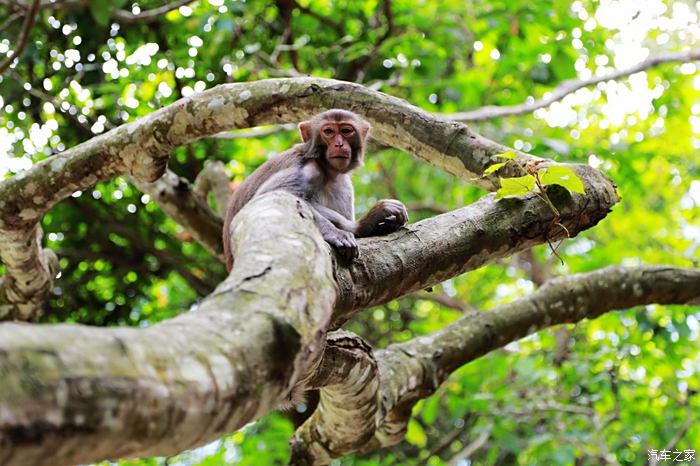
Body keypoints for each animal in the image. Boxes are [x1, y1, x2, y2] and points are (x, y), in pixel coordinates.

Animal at [224, 108, 408, 270]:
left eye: (346, 131)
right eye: (328, 131)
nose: (339, 144)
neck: (327, 173)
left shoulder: (345, 185)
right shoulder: (308, 169)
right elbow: (267, 198)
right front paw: (336, 233)